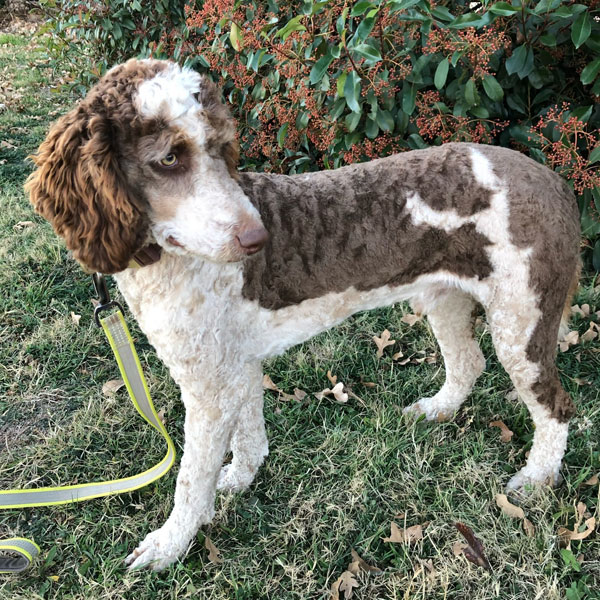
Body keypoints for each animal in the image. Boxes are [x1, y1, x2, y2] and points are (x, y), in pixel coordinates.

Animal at [24, 58, 580, 568]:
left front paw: (169, 544)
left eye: (221, 147)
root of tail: (554, 180)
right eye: (168, 158)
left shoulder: (207, 386)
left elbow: (190, 478)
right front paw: (240, 478)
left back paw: (538, 478)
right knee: (469, 362)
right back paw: (438, 410)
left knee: (555, 406)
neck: (170, 258)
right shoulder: (232, 366)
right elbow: (248, 435)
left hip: (522, 320)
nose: (258, 239)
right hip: (443, 297)